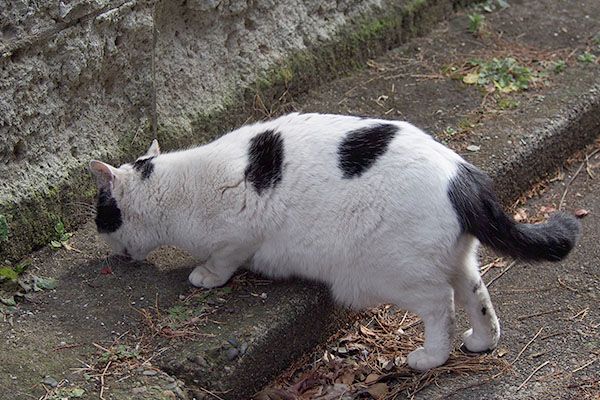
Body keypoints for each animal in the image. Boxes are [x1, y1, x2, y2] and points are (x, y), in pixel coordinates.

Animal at [90, 111, 580, 370]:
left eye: (100, 215)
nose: (104, 242)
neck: (174, 190)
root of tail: (463, 175)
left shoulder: (239, 234)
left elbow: (224, 260)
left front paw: (206, 275)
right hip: (456, 260)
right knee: (477, 294)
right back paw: (482, 341)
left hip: (395, 272)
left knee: (441, 304)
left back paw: (429, 356)